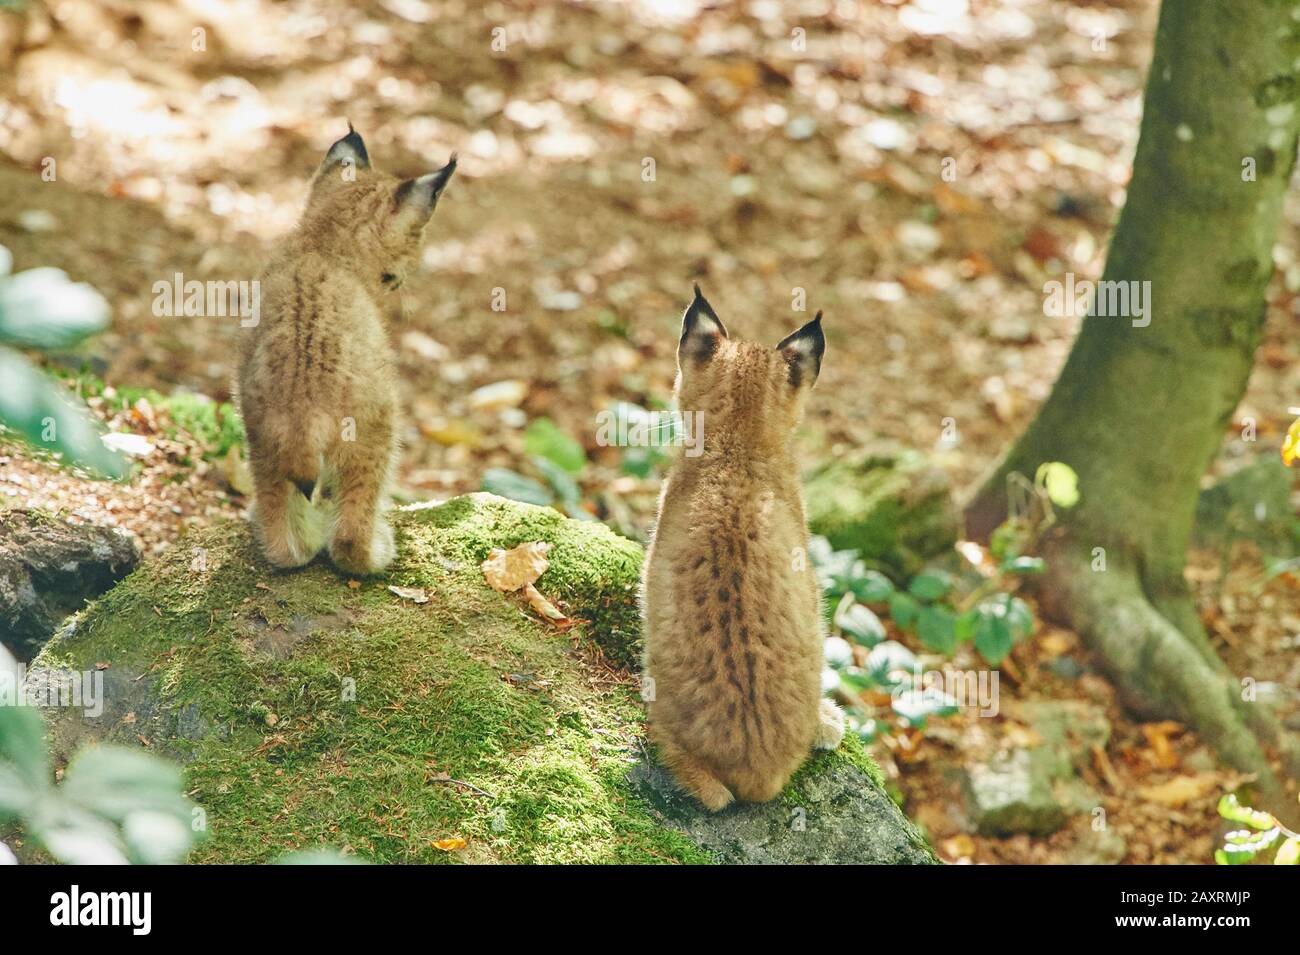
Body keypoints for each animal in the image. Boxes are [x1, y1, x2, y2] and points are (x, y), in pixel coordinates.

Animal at [237, 127, 457, 574]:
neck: (322, 243)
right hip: (377, 427)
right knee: (351, 532)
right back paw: (376, 552)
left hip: (259, 435)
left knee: (281, 537)